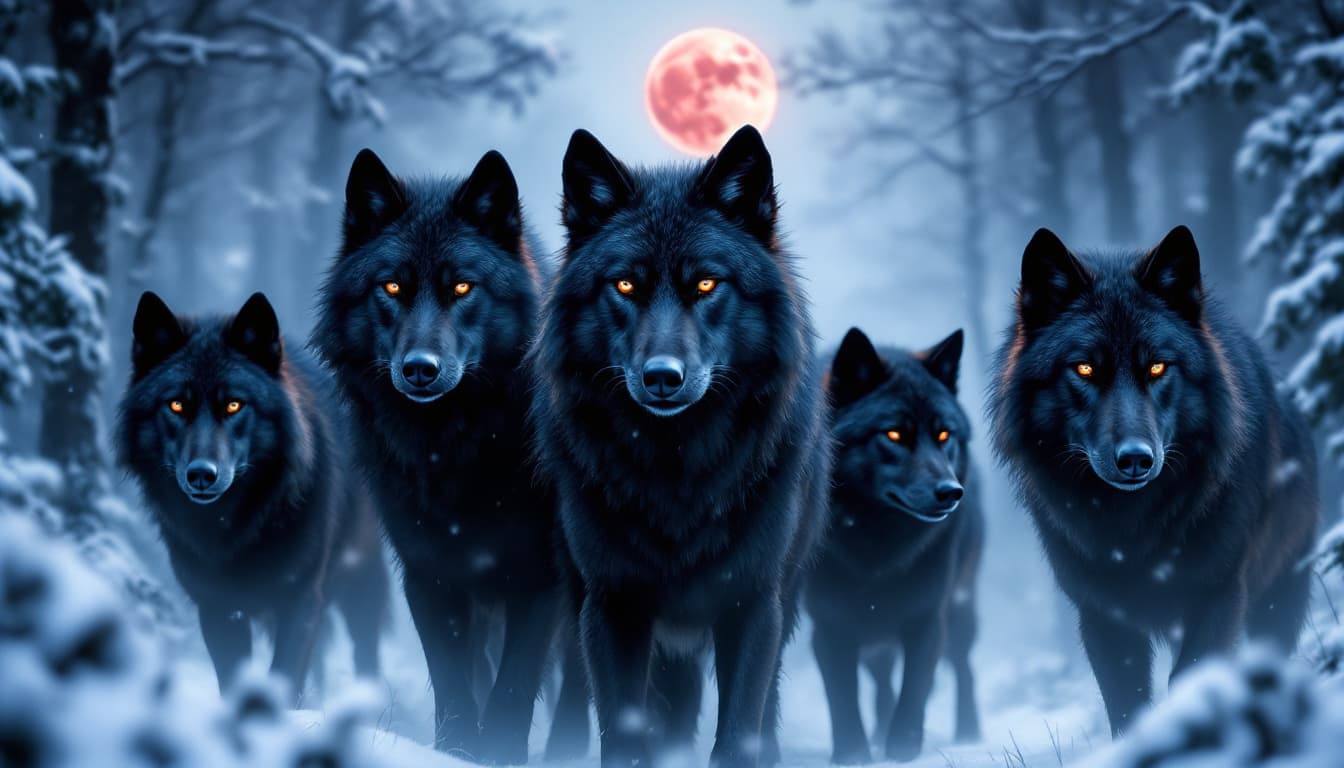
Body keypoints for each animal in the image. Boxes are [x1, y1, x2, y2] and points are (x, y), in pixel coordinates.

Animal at [118, 291, 388, 697]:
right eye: (176, 404)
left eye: (234, 404)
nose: (202, 474)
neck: (233, 528)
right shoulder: (218, 609)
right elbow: (234, 680)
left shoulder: (301, 600)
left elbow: (285, 677)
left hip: (361, 577)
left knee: (365, 649)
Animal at [311, 148, 584, 763]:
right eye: (391, 287)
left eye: (462, 288)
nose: (420, 368)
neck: (456, 451)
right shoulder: (430, 573)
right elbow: (456, 685)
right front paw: (457, 752)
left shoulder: (541, 581)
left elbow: (513, 689)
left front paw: (501, 754)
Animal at [530, 125, 831, 768]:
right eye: (624, 284)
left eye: (706, 284)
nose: (662, 377)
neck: (677, 472)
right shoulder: (612, 605)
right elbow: (622, 733)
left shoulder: (752, 604)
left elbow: (739, 733)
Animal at [807, 327, 983, 763]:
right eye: (894, 434)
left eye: (943, 434)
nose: (951, 492)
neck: (877, 548)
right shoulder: (830, 626)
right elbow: (842, 696)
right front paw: (854, 754)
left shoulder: (927, 618)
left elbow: (916, 688)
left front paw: (902, 749)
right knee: (883, 679)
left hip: (961, 609)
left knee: (963, 667)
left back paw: (969, 733)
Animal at [990, 225, 1320, 735]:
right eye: (1085, 368)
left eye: (1158, 367)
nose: (1135, 460)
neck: (1135, 527)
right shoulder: (1103, 616)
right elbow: (1128, 706)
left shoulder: (1218, 595)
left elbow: (1192, 680)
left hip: (1278, 597)